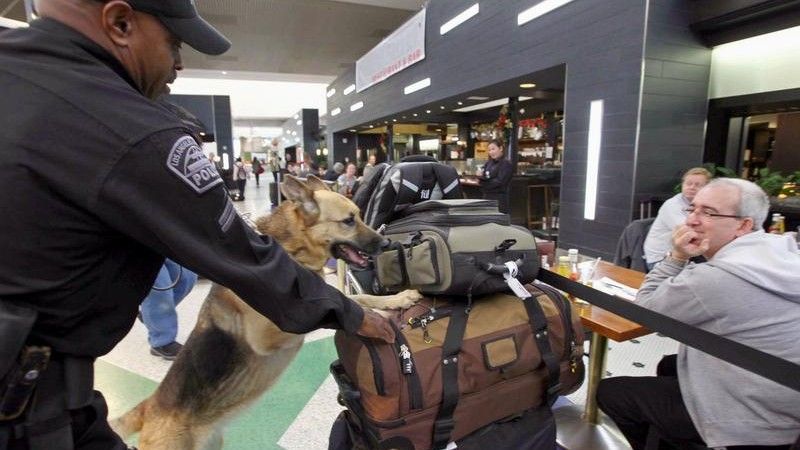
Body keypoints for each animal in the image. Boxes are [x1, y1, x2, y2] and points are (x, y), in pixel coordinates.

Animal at [114, 174, 424, 448]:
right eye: (348, 221)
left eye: (359, 215)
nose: (387, 244)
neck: (293, 250)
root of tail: (149, 407)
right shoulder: (271, 331)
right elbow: (336, 306)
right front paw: (376, 319)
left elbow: (356, 296)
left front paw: (397, 299)